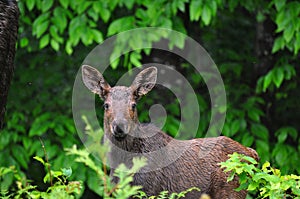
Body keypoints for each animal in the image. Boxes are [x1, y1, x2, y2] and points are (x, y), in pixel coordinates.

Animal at [81, 65, 258, 197]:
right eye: (106, 105)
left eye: (133, 105)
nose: (119, 126)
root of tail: (252, 153)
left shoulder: (150, 190)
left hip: (231, 191)